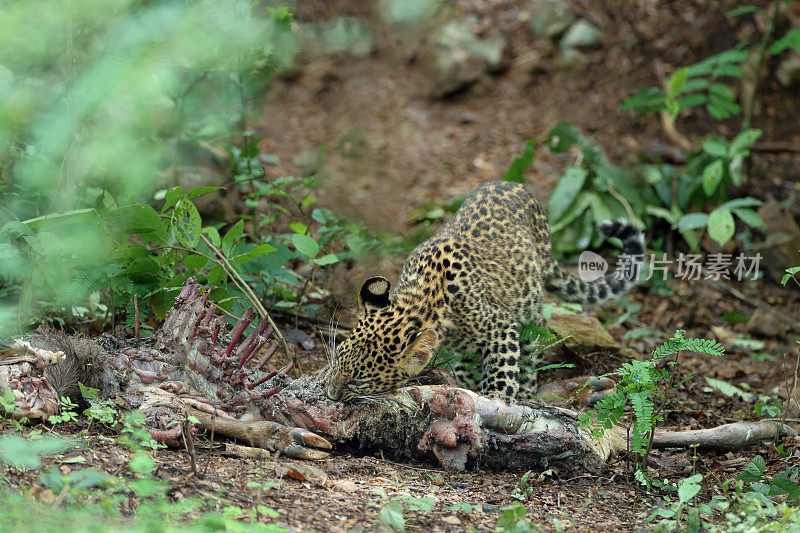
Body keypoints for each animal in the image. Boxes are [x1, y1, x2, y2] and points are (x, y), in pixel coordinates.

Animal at [324, 181, 644, 402]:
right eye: (337, 360)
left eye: (358, 381)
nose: (330, 394)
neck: (423, 299)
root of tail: (517, 185)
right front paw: (468, 387)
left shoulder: (501, 327)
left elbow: (503, 371)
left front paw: (496, 400)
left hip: (530, 310)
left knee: (531, 351)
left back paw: (525, 392)